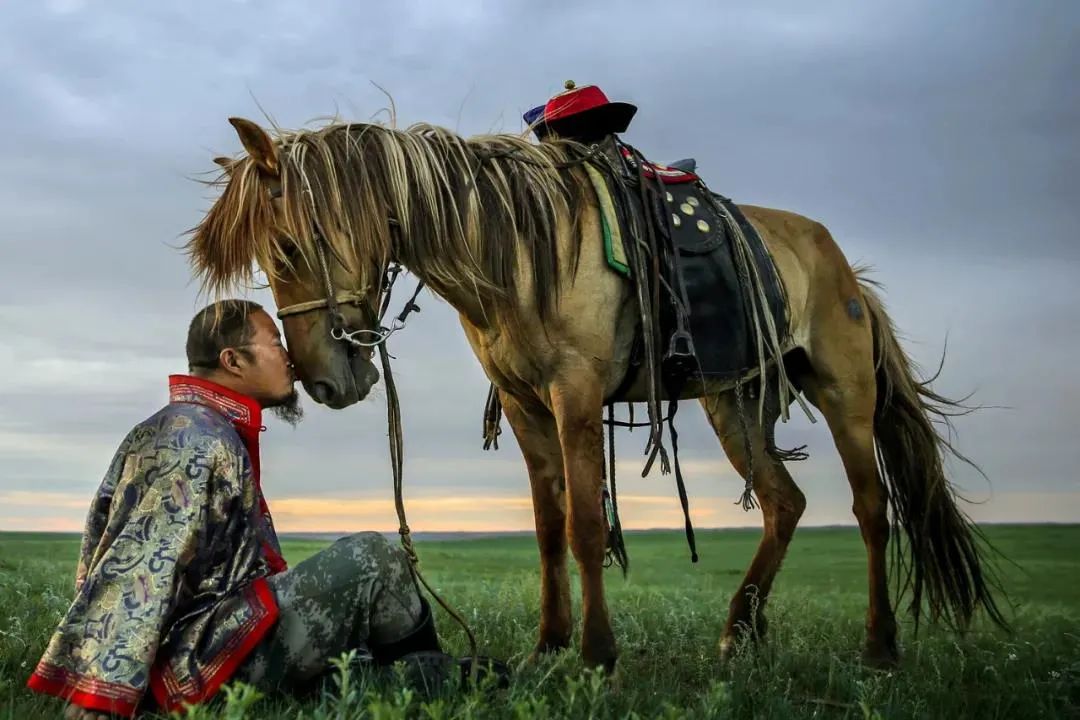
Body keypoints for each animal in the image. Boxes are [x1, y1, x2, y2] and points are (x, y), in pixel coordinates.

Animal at [185, 115, 1002, 673]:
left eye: (288, 246)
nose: (325, 381)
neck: (514, 249)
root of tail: (841, 265)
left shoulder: (574, 395)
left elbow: (584, 526)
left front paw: (597, 652)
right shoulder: (524, 406)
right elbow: (548, 527)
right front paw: (549, 646)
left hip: (844, 397)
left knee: (870, 509)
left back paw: (880, 644)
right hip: (734, 405)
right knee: (785, 502)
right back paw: (738, 630)